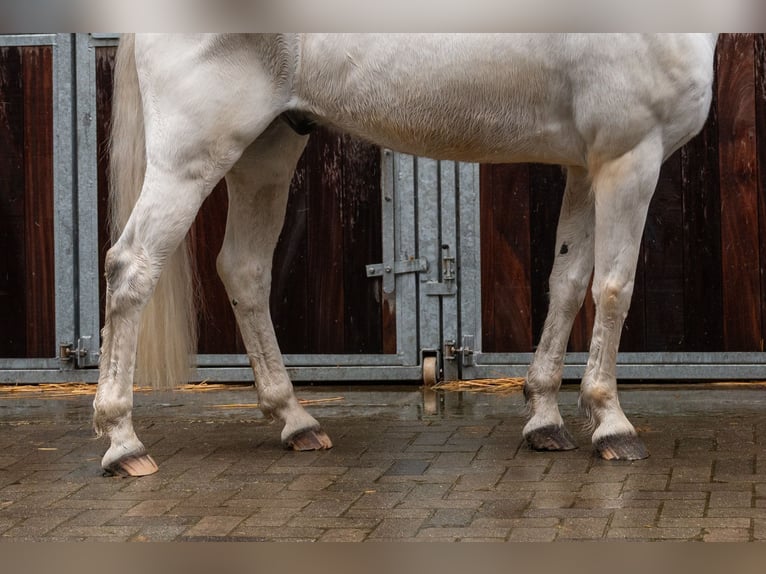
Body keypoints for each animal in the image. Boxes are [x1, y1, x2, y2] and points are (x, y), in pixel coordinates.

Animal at [95, 33, 718, 476]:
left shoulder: (585, 167)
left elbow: (566, 282)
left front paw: (543, 419)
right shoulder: (628, 157)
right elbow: (613, 288)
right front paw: (612, 425)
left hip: (267, 149)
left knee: (244, 271)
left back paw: (296, 422)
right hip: (193, 155)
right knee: (131, 269)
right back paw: (124, 444)